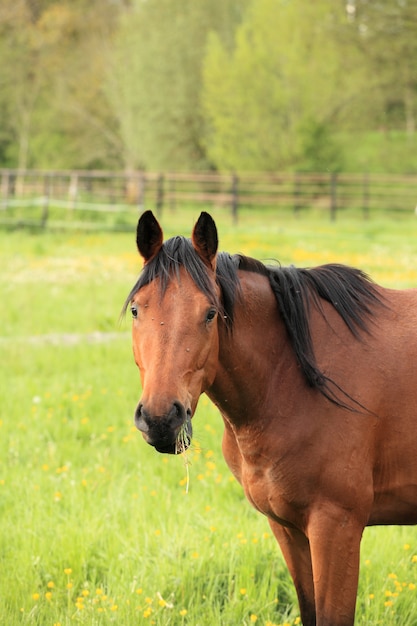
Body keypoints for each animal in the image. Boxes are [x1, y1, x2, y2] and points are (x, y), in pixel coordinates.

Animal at [123, 211, 416, 624]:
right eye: (136, 309)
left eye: (210, 314)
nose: (161, 419)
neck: (293, 379)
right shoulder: (287, 527)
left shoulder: (337, 526)